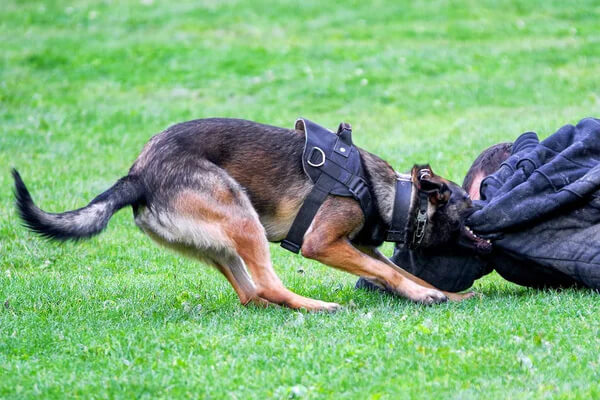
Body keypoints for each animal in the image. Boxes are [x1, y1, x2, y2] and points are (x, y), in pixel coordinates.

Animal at [11, 117, 486, 310]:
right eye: (469, 206)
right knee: (269, 286)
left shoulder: (359, 247)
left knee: (251, 293)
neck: (390, 194)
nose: (489, 209)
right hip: (241, 215)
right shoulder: (321, 243)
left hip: (223, 237)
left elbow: (400, 271)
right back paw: (318, 306)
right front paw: (425, 296)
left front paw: (444, 294)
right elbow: (390, 271)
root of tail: (138, 174)